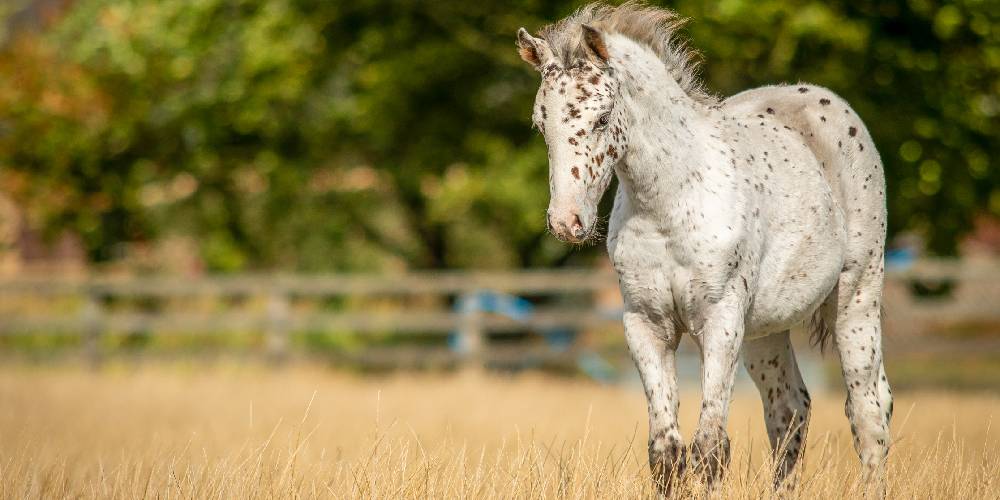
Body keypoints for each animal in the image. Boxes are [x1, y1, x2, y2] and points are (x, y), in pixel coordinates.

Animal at [516, 0, 892, 492]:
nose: (566, 222)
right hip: (765, 329)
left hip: (856, 298)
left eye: (600, 118)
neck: (668, 204)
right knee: (789, 408)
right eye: (541, 124)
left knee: (868, 410)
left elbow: (711, 448)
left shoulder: (720, 321)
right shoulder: (646, 325)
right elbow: (666, 453)